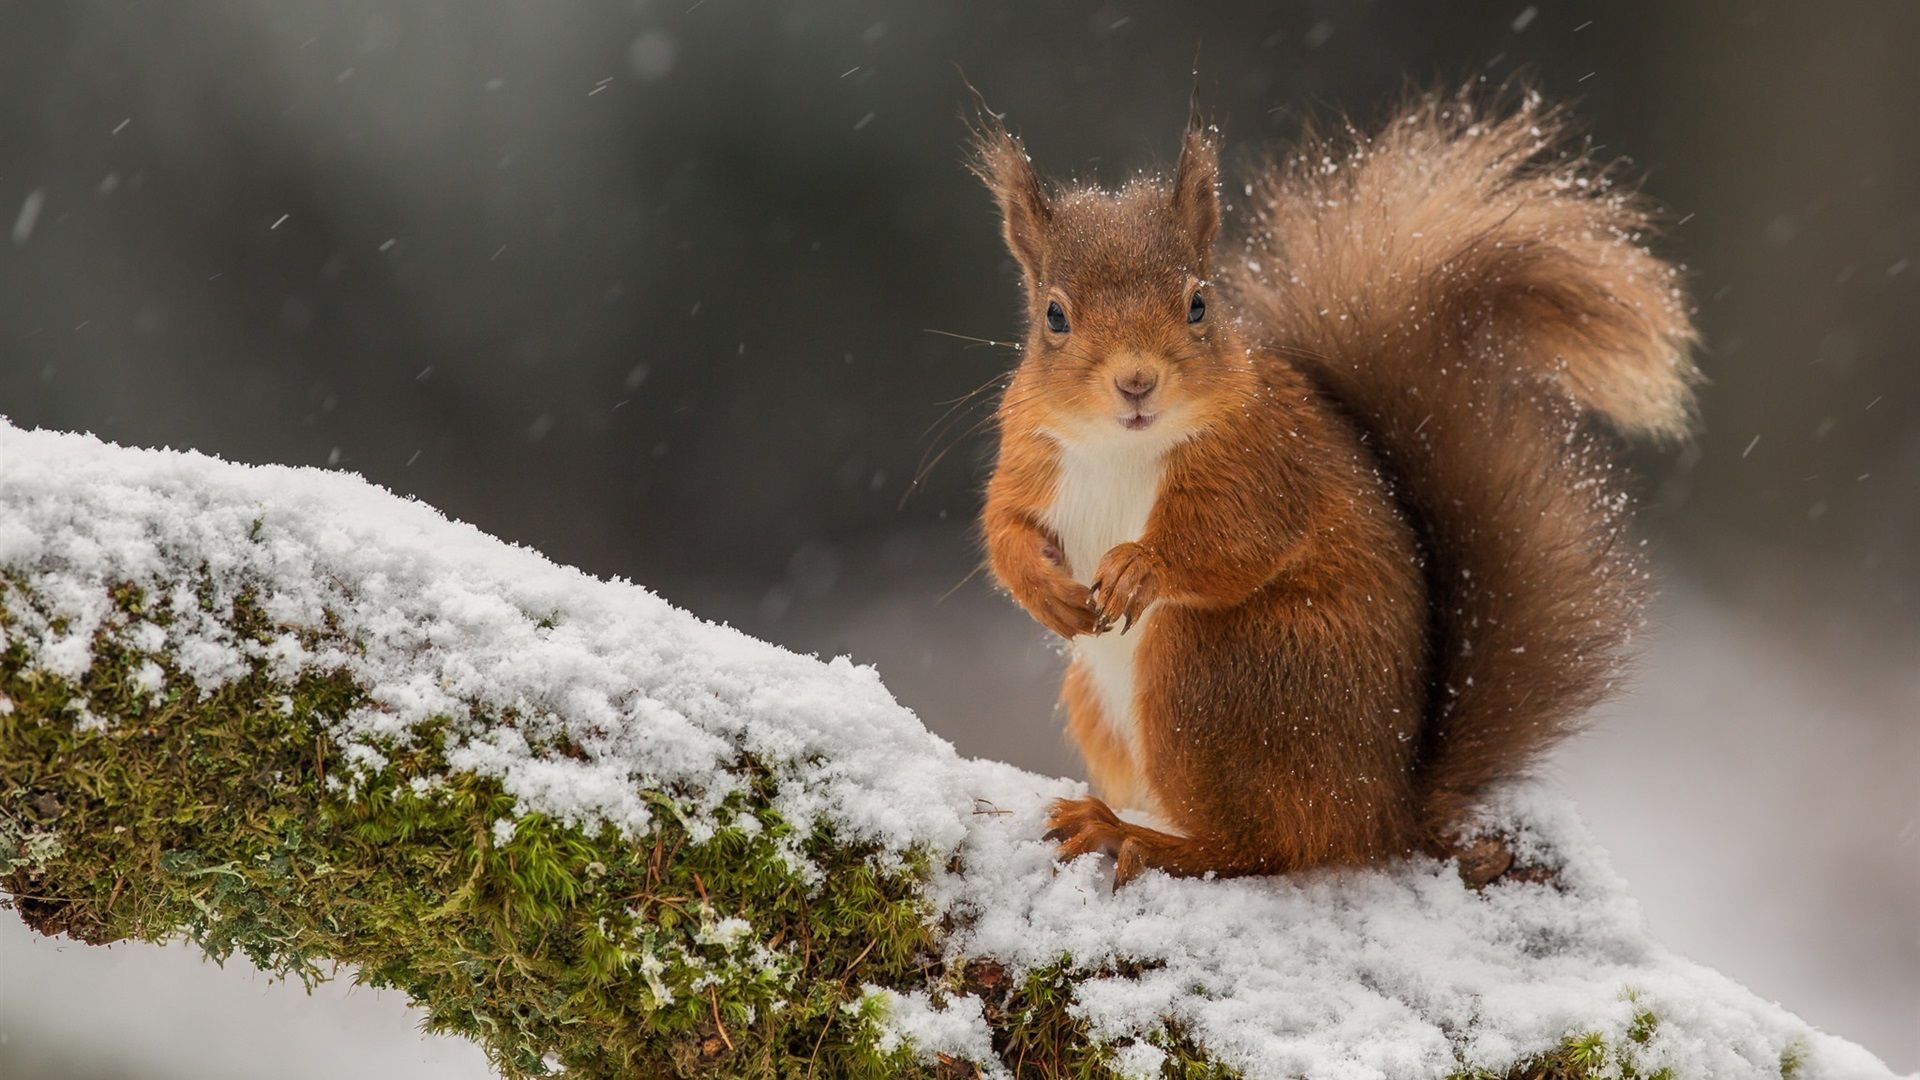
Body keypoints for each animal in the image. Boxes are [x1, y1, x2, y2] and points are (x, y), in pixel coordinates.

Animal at [969, 88, 1698, 888]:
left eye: (1199, 304)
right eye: (1053, 316)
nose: (1136, 382)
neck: (1122, 446)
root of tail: (1385, 808)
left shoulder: (1262, 463)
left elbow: (1233, 540)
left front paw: (1141, 565)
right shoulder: (1030, 454)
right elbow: (1005, 528)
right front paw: (1044, 590)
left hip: (1221, 672)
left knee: (1266, 845)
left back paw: (1135, 836)